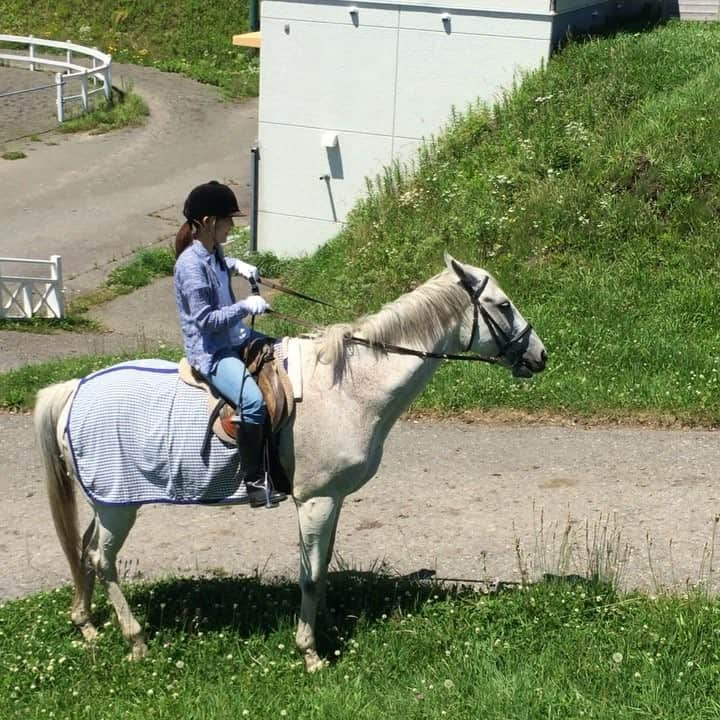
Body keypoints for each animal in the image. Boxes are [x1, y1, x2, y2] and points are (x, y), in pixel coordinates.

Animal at [33, 253, 544, 668]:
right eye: (502, 305)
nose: (540, 355)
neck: (348, 386)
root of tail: (75, 390)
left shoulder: (333, 499)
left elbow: (322, 564)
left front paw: (326, 627)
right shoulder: (315, 500)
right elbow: (311, 575)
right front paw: (310, 651)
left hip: (109, 502)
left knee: (84, 549)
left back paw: (87, 625)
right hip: (117, 504)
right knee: (101, 558)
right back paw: (135, 639)